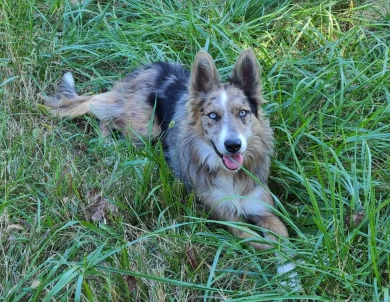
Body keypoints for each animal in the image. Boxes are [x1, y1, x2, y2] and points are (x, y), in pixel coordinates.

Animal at [43, 49, 298, 284]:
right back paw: (109, 144)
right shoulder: (224, 215)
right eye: (212, 116)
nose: (233, 145)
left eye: (243, 113)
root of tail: (146, 70)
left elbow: (282, 238)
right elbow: (258, 240)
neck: (229, 175)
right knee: (106, 117)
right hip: (145, 129)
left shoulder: (264, 209)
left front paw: (290, 276)